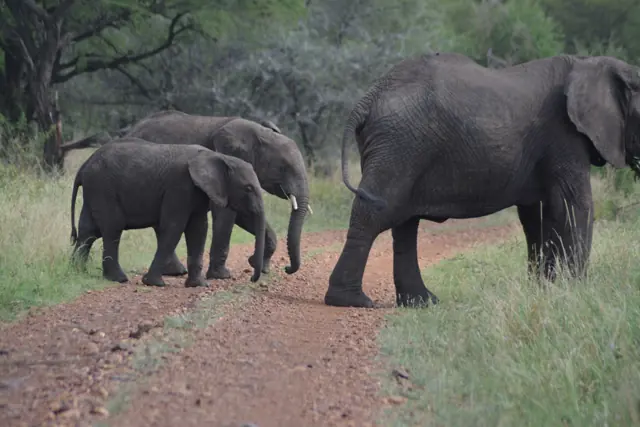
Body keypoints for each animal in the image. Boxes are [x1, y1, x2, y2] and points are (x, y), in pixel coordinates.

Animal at [69, 137, 267, 287]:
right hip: (103, 188)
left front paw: (198, 285)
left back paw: (78, 272)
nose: (252, 277)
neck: (218, 157)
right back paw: (119, 279)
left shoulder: (197, 191)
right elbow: (173, 227)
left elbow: (198, 230)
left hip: (94, 190)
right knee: (112, 228)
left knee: (88, 231)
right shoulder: (180, 186)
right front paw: (154, 283)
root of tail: (84, 166)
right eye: (248, 188)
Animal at [119, 110, 310, 280]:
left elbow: (243, 213)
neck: (259, 133)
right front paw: (222, 276)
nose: (287, 268)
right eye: (283, 168)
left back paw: (175, 272)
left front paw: (261, 268)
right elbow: (226, 213)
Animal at [325, 52, 640, 309]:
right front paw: (573, 291)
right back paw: (351, 300)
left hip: (402, 144)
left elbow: (538, 214)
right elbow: (574, 204)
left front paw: (544, 289)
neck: (590, 63)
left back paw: (421, 302)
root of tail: (369, 97)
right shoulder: (564, 134)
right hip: (399, 142)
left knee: (404, 223)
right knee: (376, 211)